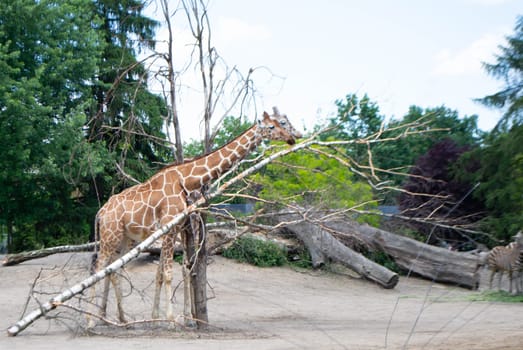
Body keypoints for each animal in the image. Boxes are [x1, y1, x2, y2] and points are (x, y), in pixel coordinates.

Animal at [89, 110, 300, 326]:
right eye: (275, 125)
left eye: (284, 122)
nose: (294, 137)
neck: (187, 180)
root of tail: (101, 212)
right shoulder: (171, 228)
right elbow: (168, 273)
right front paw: (172, 320)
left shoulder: (179, 228)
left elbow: (169, 271)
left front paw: (158, 318)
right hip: (110, 235)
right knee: (98, 268)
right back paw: (92, 321)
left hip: (124, 238)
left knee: (113, 270)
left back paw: (118, 319)